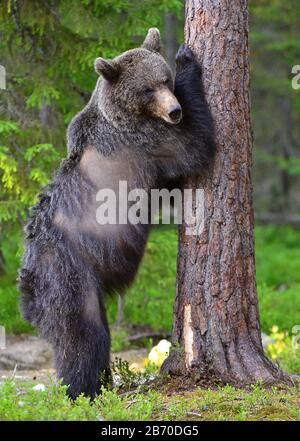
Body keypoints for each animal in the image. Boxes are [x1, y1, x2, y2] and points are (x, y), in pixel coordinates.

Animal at [19, 28, 216, 398]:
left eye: (163, 80)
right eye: (148, 88)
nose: (174, 111)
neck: (125, 113)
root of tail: (27, 285)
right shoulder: (144, 144)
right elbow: (195, 146)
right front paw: (187, 59)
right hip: (68, 273)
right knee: (83, 335)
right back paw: (85, 390)